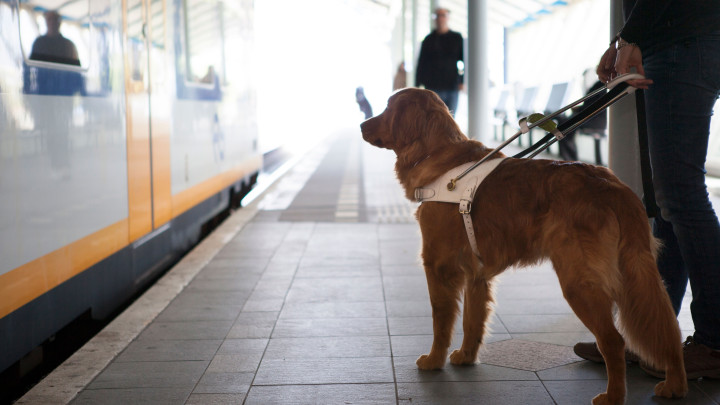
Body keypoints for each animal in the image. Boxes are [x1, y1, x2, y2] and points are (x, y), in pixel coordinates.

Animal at [362, 87, 688, 402]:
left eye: (388, 108)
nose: (362, 124)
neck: (443, 163)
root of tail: (611, 185)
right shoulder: (475, 274)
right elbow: (472, 321)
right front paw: (466, 356)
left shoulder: (438, 266)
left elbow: (441, 322)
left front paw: (433, 360)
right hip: (638, 272)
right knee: (667, 329)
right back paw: (675, 384)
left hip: (579, 281)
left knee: (614, 340)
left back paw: (613, 396)